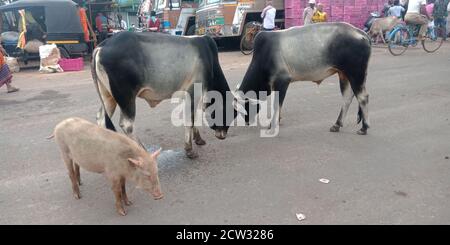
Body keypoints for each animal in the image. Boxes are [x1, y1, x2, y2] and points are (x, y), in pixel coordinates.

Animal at [92, 31, 236, 158]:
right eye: (229, 113)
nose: (223, 135)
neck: (209, 58)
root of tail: (103, 45)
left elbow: (193, 118)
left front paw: (198, 139)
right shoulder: (194, 91)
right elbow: (190, 120)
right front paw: (189, 150)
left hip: (108, 97)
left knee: (101, 118)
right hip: (127, 98)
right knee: (127, 125)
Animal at [236, 22, 372, 135]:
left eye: (242, 107)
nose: (247, 122)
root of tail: (361, 33)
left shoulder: (282, 81)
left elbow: (276, 105)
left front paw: (272, 127)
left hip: (355, 73)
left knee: (363, 97)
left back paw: (364, 128)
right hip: (344, 74)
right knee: (347, 98)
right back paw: (337, 125)